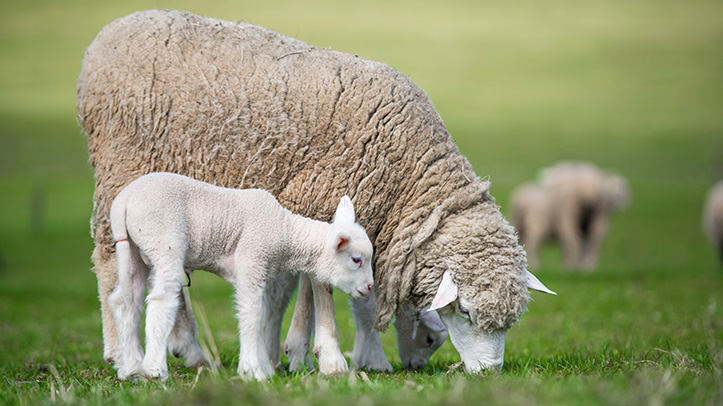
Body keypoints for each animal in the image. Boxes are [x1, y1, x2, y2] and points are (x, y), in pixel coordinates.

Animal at [107, 172, 374, 381]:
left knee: (124, 301)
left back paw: (132, 369)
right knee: (161, 301)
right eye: (356, 260)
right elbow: (251, 316)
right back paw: (154, 370)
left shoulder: (259, 272)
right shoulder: (251, 261)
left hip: (135, 249)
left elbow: (261, 314)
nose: (370, 287)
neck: (284, 230)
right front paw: (253, 371)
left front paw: (263, 367)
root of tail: (123, 201)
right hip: (164, 240)